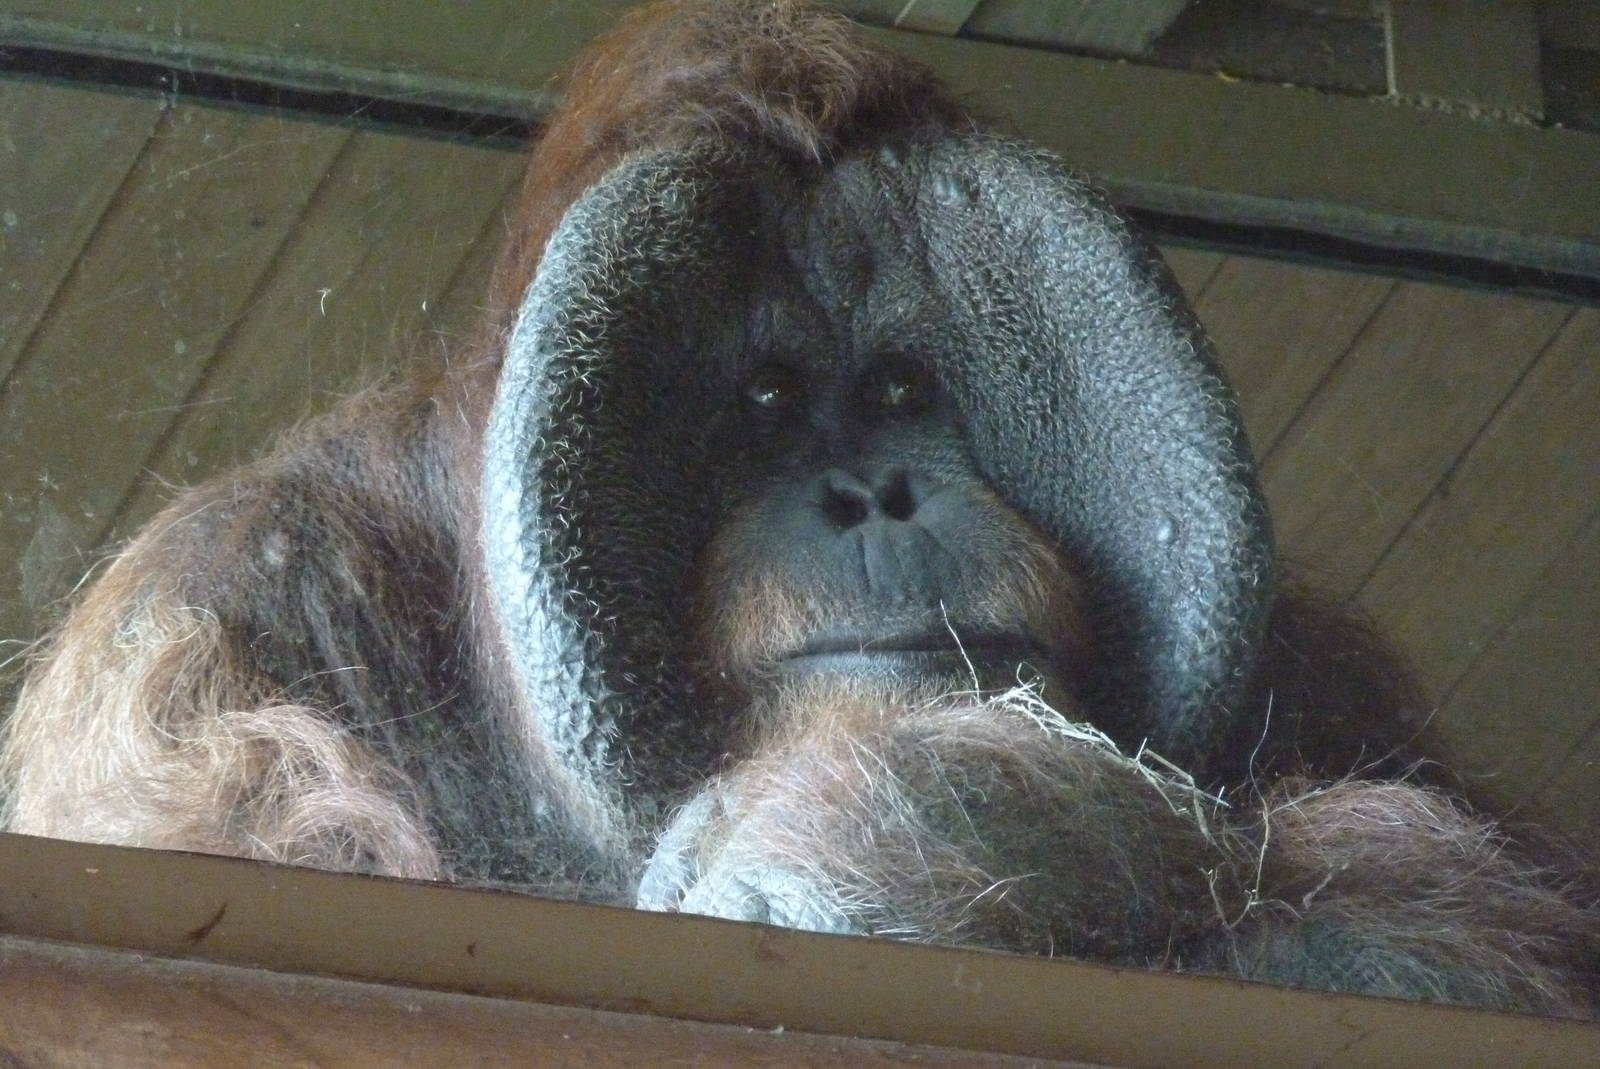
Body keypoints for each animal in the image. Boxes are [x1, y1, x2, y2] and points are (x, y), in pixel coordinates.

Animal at [2, 0, 1595, 1017]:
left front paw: (908, 829)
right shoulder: (203, 640)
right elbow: (276, 874)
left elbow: (1490, 940)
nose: (873, 492)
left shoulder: (1331, 670)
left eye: (896, 387)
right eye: (765, 401)